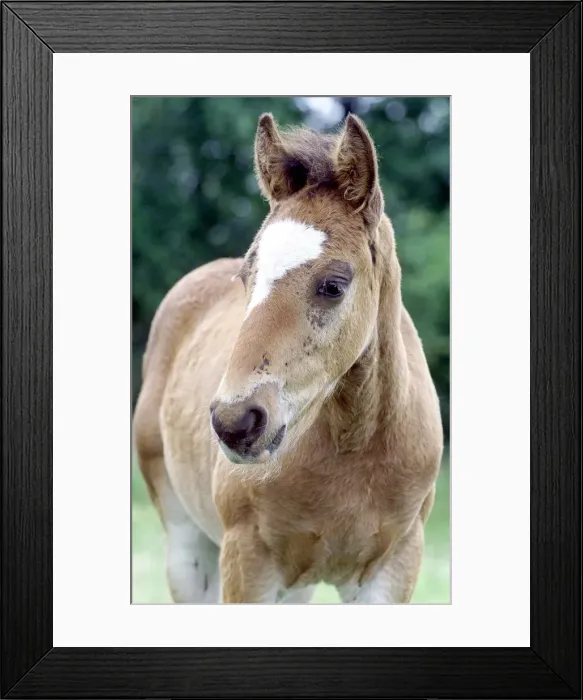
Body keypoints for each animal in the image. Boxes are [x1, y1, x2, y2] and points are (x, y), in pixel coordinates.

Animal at [133, 113, 443, 604]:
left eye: (333, 285)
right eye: (247, 277)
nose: (235, 423)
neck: (354, 445)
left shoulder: (393, 568)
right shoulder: (247, 564)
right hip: (188, 551)